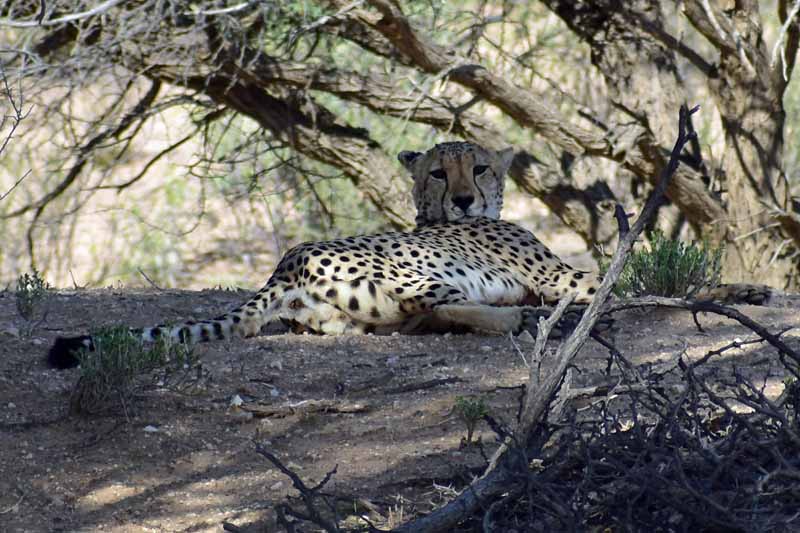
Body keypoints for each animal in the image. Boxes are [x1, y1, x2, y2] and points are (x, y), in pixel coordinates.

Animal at [47, 141, 600, 369]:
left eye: (480, 168)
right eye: (439, 173)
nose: (464, 200)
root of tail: (286, 264)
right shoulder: (556, 275)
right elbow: (603, 277)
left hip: (356, 317)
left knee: (416, 321)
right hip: (415, 274)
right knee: (440, 307)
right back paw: (519, 318)